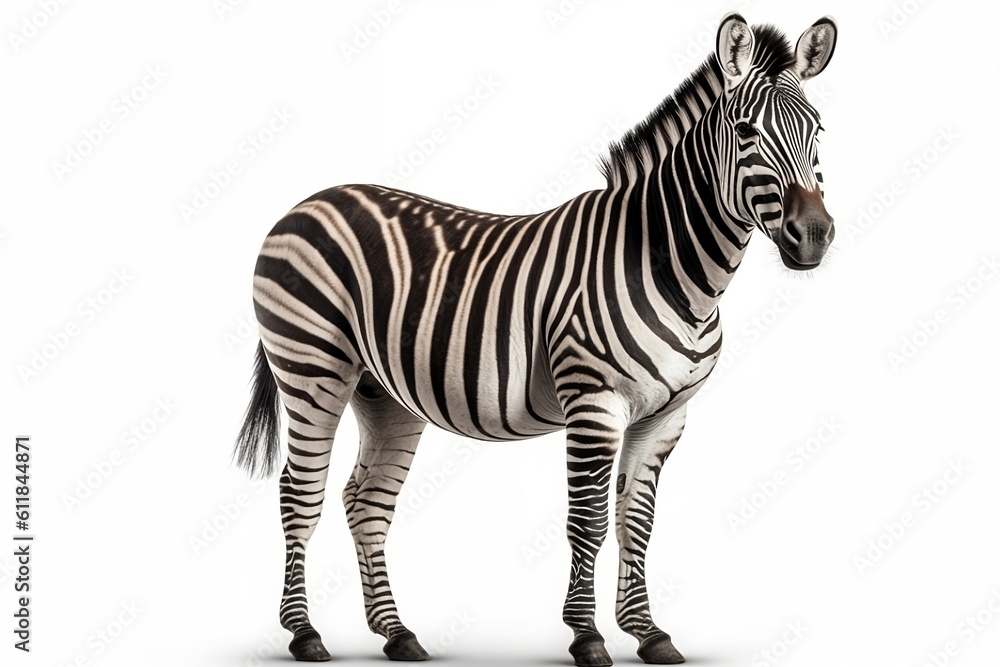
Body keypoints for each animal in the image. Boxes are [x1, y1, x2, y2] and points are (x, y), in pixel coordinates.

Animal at [234, 12, 837, 666]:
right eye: (747, 131)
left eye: (818, 130)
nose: (813, 235)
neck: (673, 269)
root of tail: (307, 202)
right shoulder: (594, 401)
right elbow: (588, 521)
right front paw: (587, 636)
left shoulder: (667, 414)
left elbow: (636, 521)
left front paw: (649, 633)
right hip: (312, 367)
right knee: (300, 493)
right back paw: (305, 633)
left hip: (383, 393)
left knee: (365, 502)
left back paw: (397, 633)